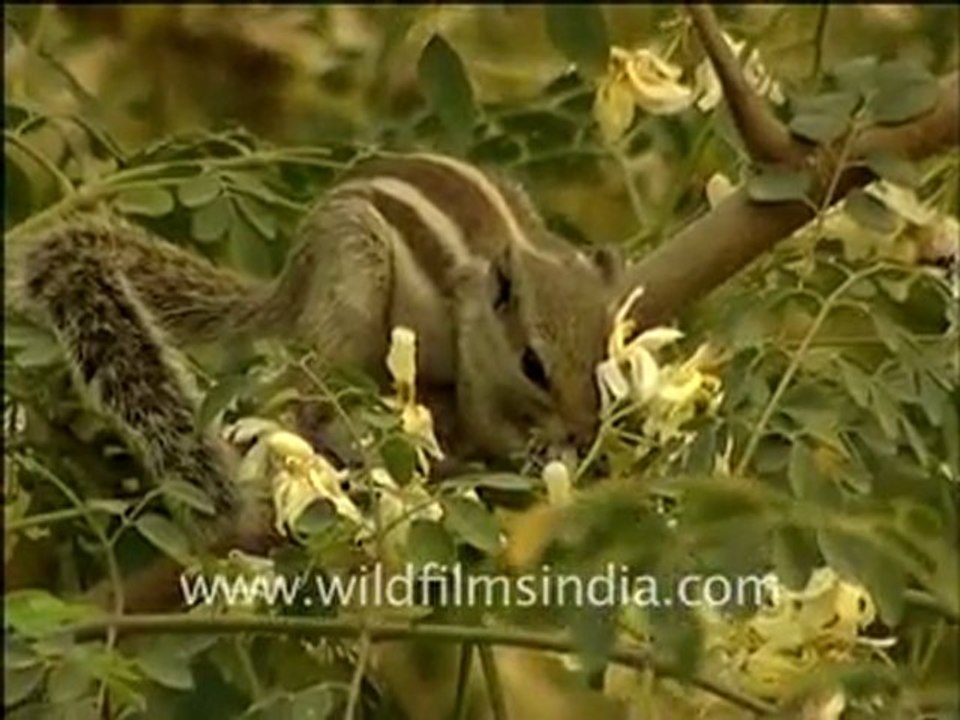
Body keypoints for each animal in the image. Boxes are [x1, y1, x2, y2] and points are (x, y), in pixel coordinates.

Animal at [12, 151, 625, 541]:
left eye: (607, 360)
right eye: (533, 365)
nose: (583, 431)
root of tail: (294, 281)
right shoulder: (476, 354)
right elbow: (485, 421)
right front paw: (537, 452)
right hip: (354, 284)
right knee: (300, 392)